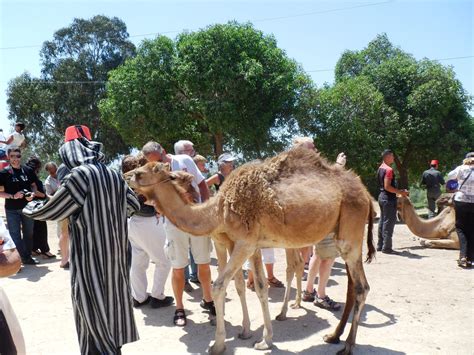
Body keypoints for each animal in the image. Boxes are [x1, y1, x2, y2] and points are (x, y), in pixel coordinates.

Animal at [126, 147, 374, 354]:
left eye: (140, 173)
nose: (125, 175)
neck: (218, 211)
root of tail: (366, 194)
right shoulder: (249, 245)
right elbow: (257, 287)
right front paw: (256, 336)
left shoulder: (244, 243)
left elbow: (219, 286)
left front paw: (218, 345)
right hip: (338, 235)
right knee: (349, 285)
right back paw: (332, 336)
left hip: (351, 230)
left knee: (362, 287)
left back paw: (347, 346)